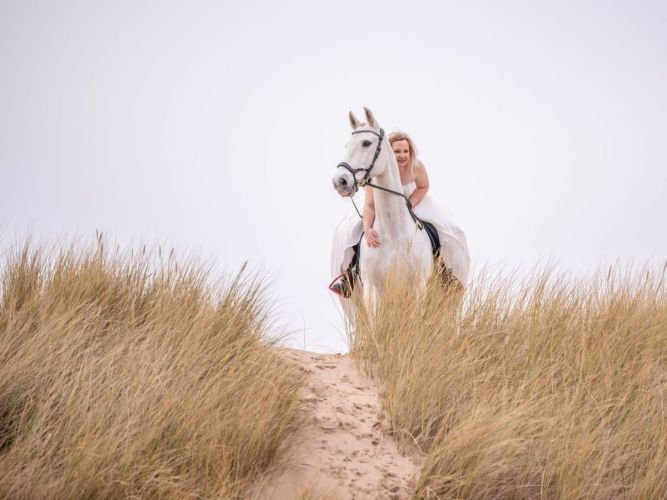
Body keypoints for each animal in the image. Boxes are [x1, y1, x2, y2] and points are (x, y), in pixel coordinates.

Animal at [332, 107, 436, 306]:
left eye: (366, 143)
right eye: (346, 145)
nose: (340, 181)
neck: (393, 234)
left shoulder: (418, 289)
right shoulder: (373, 290)